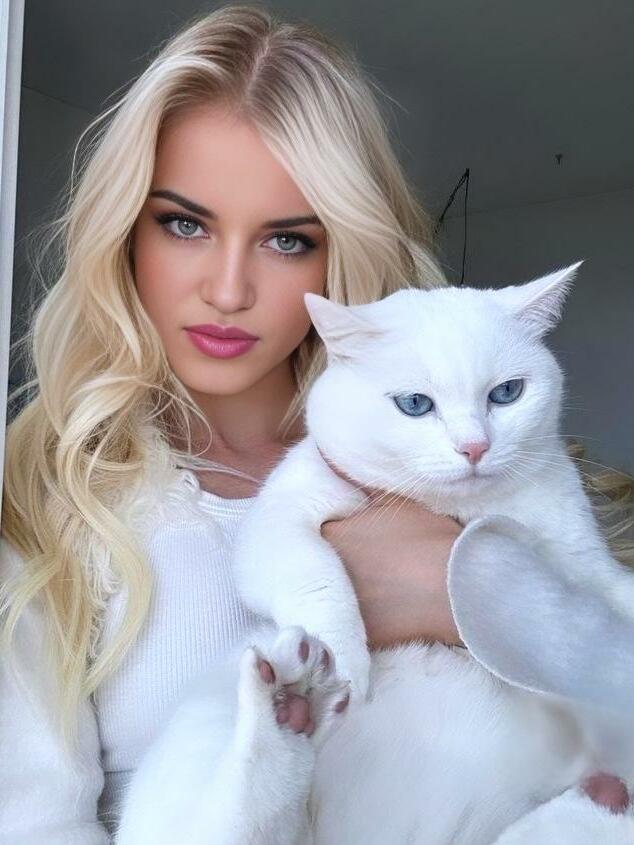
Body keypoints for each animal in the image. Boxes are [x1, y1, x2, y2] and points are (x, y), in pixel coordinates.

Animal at [116, 261, 634, 844]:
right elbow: (316, 573)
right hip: (207, 727)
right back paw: (291, 704)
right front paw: (345, 661)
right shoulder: (277, 520)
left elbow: (602, 603)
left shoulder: (584, 560)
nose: (475, 447)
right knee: (237, 814)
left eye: (506, 393)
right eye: (415, 405)